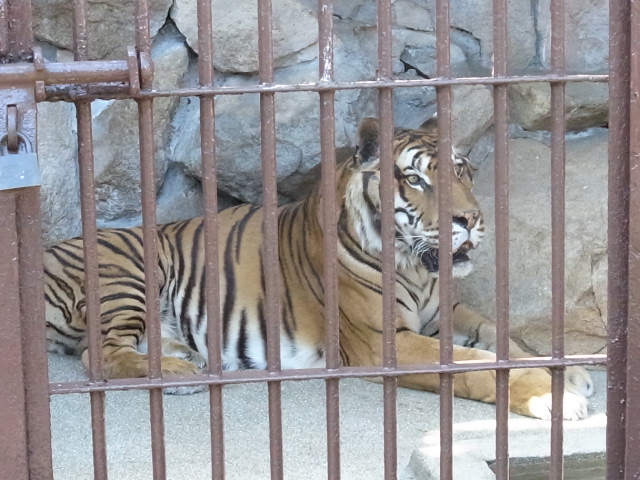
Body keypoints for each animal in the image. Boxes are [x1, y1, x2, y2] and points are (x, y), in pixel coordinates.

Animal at [45, 116, 592, 420]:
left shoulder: (447, 313)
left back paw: (189, 357)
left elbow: (503, 339)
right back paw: (181, 374)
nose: (471, 220)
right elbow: (473, 365)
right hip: (129, 275)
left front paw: (573, 373)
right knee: (100, 355)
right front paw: (552, 396)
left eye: (462, 170)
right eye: (415, 179)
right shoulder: (383, 342)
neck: (415, 266)